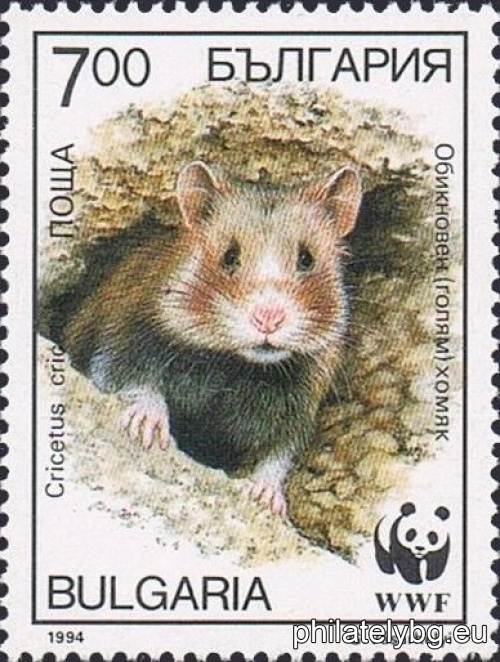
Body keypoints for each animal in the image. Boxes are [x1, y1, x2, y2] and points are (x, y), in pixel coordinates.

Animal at [61, 161, 362, 516]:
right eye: (229, 256)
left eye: (307, 259)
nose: (268, 319)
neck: (233, 364)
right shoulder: (121, 339)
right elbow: (134, 381)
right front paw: (147, 431)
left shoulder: (301, 403)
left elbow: (279, 452)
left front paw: (267, 499)